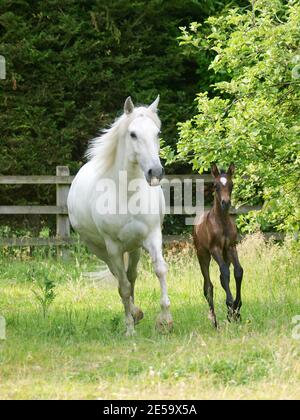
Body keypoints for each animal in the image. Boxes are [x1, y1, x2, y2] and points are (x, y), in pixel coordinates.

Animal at [67, 95, 172, 334]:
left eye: (157, 133)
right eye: (133, 134)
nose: (155, 172)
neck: (127, 194)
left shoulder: (152, 236)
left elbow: (159, 270)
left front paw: (165, 320)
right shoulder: (113, 247)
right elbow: (122, 287)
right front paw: (130, 329)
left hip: (134, 248)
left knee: (131, 276)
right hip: (101, 250)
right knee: (119, 278)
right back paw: (133, 314)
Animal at [192, 164, 244, 328]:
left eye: (231, 184)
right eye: (215, 186)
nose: (225, 203)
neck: (222, 222)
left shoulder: (231, 247)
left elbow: (238, 271)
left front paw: (236, 309)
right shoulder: (215, 249)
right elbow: (225, 272)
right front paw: (231, 304)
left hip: (225, 254)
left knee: (222, 277)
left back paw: (229, 314)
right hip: (203, 255)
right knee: (208, 286)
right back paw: (214, 322)